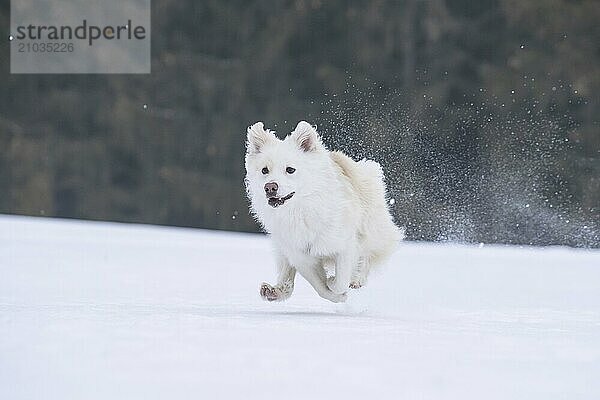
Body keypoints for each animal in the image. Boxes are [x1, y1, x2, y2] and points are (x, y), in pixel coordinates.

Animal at [244, 120, 404, 302]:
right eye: (264, 170)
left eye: (290, 169)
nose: (270, 187)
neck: (300, 211)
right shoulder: (301, 257)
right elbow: (321, 288)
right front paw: (337, 295)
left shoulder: (345, 244)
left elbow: (340, 280)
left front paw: (335, 283)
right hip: (282, 248)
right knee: (287, 275)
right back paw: (274, 291)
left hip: (371, 226)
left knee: (368, 254)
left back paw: (357, 279)